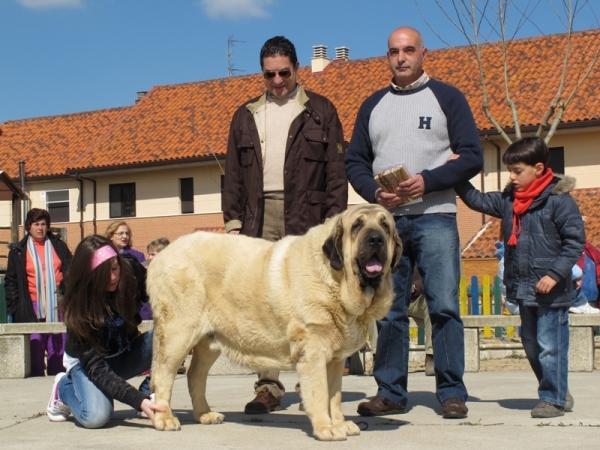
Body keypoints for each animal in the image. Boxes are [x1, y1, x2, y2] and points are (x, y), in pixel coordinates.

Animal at [146, 203, 400, 440]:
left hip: (209, 342)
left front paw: (339, 423)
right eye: (357, 225)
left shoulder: (335, 360)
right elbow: (319, 394)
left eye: (385, 226)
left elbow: (334, 396)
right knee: (163, 375)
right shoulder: (314, 353)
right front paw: (326, 428)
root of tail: (165, 253)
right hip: (179, 334)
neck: (336, 279)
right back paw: (164, 418)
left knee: (194, 376)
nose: (376, 238)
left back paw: (204, 414)